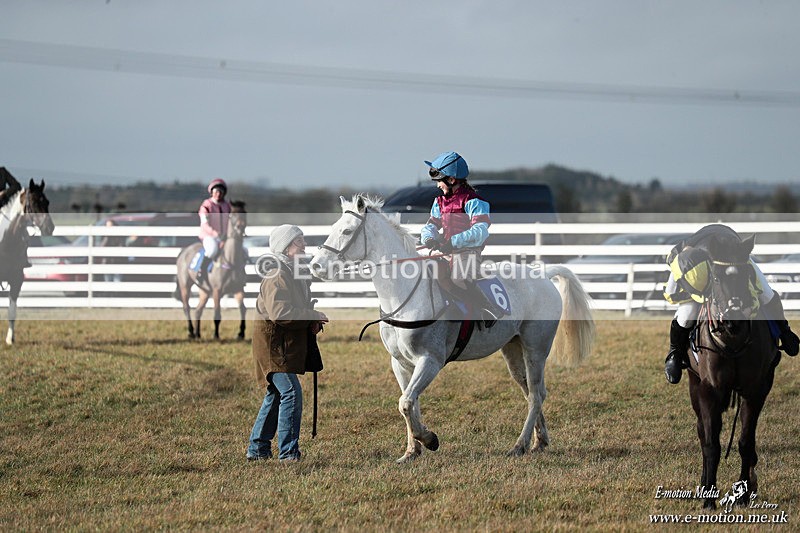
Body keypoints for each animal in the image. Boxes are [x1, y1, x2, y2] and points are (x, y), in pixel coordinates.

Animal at [0, 175, 55, 345]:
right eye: (35, 202)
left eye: (47, 202)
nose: (49, 228)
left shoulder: (17, 279)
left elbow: (12, 311)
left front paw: (10, 339)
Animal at [175, 201, 248, 340]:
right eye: (232, 215)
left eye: (245, 213)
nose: (240, 227)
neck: (230, 260)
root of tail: (184, 251)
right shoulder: (217, 291)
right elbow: (217, 313)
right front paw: (216, 335)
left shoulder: (238, 289)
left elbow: (243, 309)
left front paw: (241, 334)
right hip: (185, 286)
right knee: (187, 307)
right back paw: (191, 332)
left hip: (204, 291)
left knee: (198, 310)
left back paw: (197, 334)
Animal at [310, 195, 595, 463]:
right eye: (334, 227)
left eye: (347, 231)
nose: (316, 265)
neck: (406, 294)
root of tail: (544, 275)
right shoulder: (400, 363)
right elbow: (409, 403)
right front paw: (412, 450)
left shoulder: (430, 361)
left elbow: (406, 402)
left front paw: (429, 439)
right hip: (513, 350)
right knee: (529, 392)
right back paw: (539, 441)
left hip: (536, 349)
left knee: (536, 394)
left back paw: (519, 445)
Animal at [685, 232, 780, 509]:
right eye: (716, 278)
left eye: (747, 274)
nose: (733, 318)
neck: (732, 342)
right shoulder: (708, 390)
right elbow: (711, 443)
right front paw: (708, 495)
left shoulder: (755, 390)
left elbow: (746, 442)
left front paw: (745, 492)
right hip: (693, 384)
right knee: (702, 432)